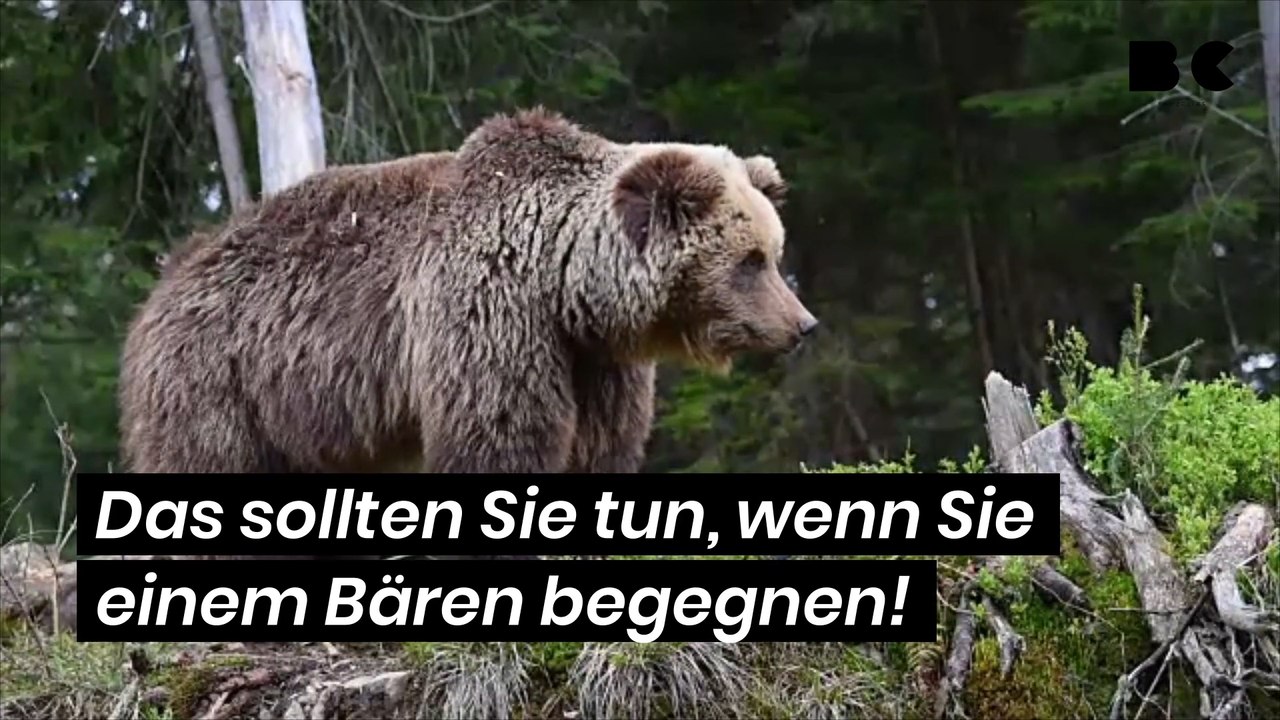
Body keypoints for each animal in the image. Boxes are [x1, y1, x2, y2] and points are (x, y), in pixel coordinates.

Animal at [118, 109, 817, 474]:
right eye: (751, 260)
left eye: (774, 251)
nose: (803, 324)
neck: (560, 276)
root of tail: (170, 271)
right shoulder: (487, 309)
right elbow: (501, 429)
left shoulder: (592, 356)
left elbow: (603, 441)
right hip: (219, 375)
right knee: (208, 459)